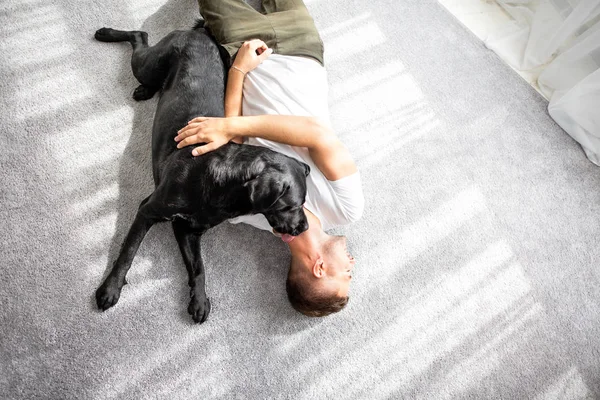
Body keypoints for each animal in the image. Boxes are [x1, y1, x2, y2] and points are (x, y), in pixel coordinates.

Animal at [94, 25, 312, 324]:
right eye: (292, 206)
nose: (305, 228)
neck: (219, 184)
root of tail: (200, 33)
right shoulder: (148, 209)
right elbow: (128, 251)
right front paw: (110, 288)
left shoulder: (188, 229)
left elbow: (199, 268)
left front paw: (198, 300)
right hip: (148, 65)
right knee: (139, 36)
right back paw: (106, 34)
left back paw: (145, 90)